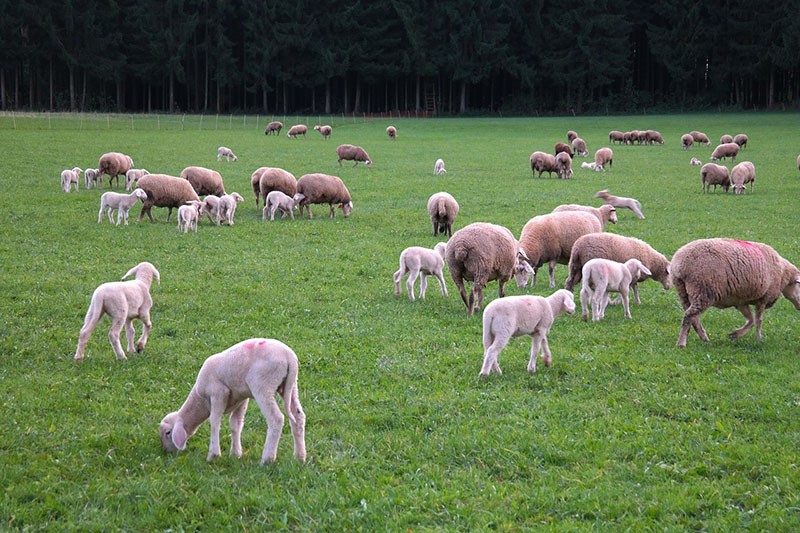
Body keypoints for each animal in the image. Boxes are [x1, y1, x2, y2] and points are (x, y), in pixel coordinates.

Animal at [159, 338, 306, 464]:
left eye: (168, 433)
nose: (166, 452)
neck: (200, 401)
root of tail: (289, 357)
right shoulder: (241, 397)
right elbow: (235, 423)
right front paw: (235, 453)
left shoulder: (218, 392)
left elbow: (214, 421)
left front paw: (213, 454)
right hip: (291, 385)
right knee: (298, 416)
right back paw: (300, 456)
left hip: (263, 385)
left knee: (276, 419)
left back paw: (267, 459)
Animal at [668, 238, 800, 348]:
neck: (783, 275)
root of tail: (679, 263)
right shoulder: (763, 299)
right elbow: (758, 321)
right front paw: (759, 339)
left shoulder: (740, 302)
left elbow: (751, 320)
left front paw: (735, 334)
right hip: (703, 290)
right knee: (688, 316)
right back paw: (681, 343)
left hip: (684, 292)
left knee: (694, 318)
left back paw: (704, 339)